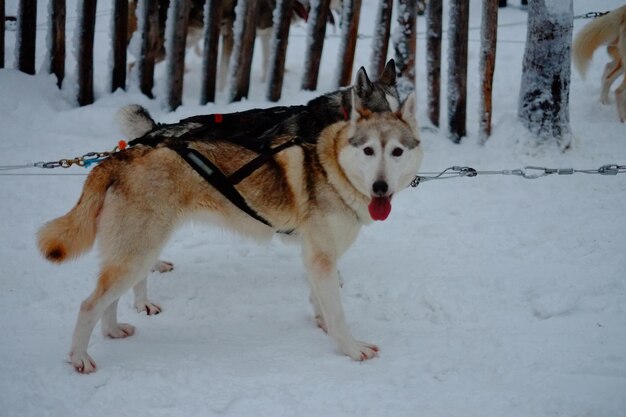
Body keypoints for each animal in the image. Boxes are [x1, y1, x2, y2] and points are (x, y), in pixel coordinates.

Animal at [37, 66, 420, 374]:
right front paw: (352, 349)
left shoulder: (315, 256)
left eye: (396, 151)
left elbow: (321, 301)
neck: (332, 167)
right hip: (137, 251)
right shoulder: (322, 256)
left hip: (135, 251)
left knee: (111, 297)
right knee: (90, 304)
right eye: (368, 149)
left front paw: (321, 324)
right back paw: (80, 357)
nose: (381, 187)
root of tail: (123, 155)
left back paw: (114, 329)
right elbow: (338, 313)